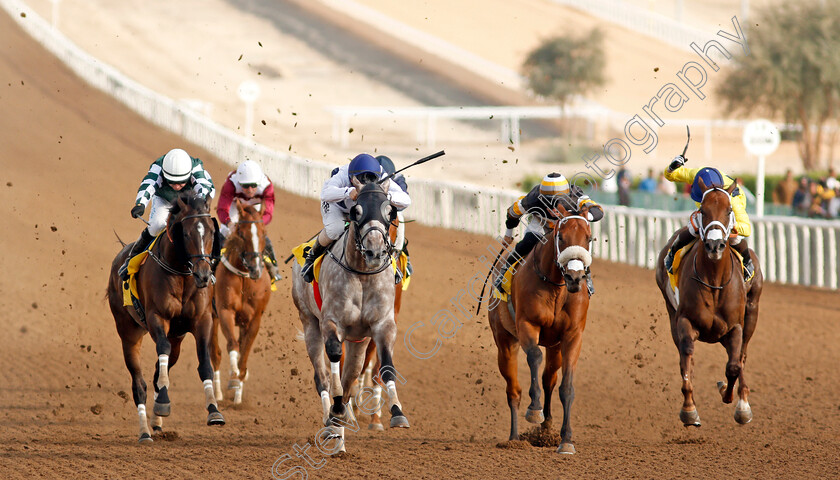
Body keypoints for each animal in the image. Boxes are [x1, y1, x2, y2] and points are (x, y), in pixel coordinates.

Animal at [106, 191, 225, 442]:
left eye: (212, 232)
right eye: (187, 233)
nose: (203, 274)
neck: (182, 274)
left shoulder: (202, 320)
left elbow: (205, 363)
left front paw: (214, 410)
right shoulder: (157, 317)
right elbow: (161, 350)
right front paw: (162, 403)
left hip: (177, 338)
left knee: (157, 371)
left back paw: (156, 423)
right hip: (128, 333)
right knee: (139, 385)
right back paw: (144, 432)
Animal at [210, 199, 272, 404]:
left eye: (263, 233)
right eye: (242, 234)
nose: (255, 269)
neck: (245, 279)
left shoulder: (254, 320)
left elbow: (244, 355)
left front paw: (238, 388)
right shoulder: (225, 311)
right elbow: (233, 346)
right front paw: (233, 379)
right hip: (212, 316)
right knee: (215, 354)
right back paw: (218, 393)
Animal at [292, 179, 410, 454]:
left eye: (391, 212)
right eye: (356, 211)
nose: (375, 251)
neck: (362, 274)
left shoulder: (382, 325)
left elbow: (385, 366)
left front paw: (397, 412)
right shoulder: (331, 322)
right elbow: (335, 356)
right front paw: (335, 413)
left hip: (359, 342)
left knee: (351, 376)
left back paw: (340, 425)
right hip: (309, 323)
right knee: (322, 377)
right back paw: (331, 420)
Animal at [486, 202, 592, 454]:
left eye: (589, 238)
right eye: (561, 236)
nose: (575, 277)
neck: (557, 287)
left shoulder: (572, 336)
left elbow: (566, 387)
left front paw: (566, 440)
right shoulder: (527, 324)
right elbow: (534, 356)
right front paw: (534, 411)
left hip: (554, 346)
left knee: (548, 379)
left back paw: (546, 430)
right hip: (504, 342)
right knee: (513, 390)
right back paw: (514, 438)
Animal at [652, 178, 764, 426]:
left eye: (729, 210)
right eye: (703, 211)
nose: (715, 246)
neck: (714, 281)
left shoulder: (735, 326)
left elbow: (733, 366)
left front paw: (732, 398)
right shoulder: (685, 321)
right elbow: (686, 357)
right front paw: (689, 409)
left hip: (752, 312)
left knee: (742, 356)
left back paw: (743, 403)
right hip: (671, 313)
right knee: (686, 356)